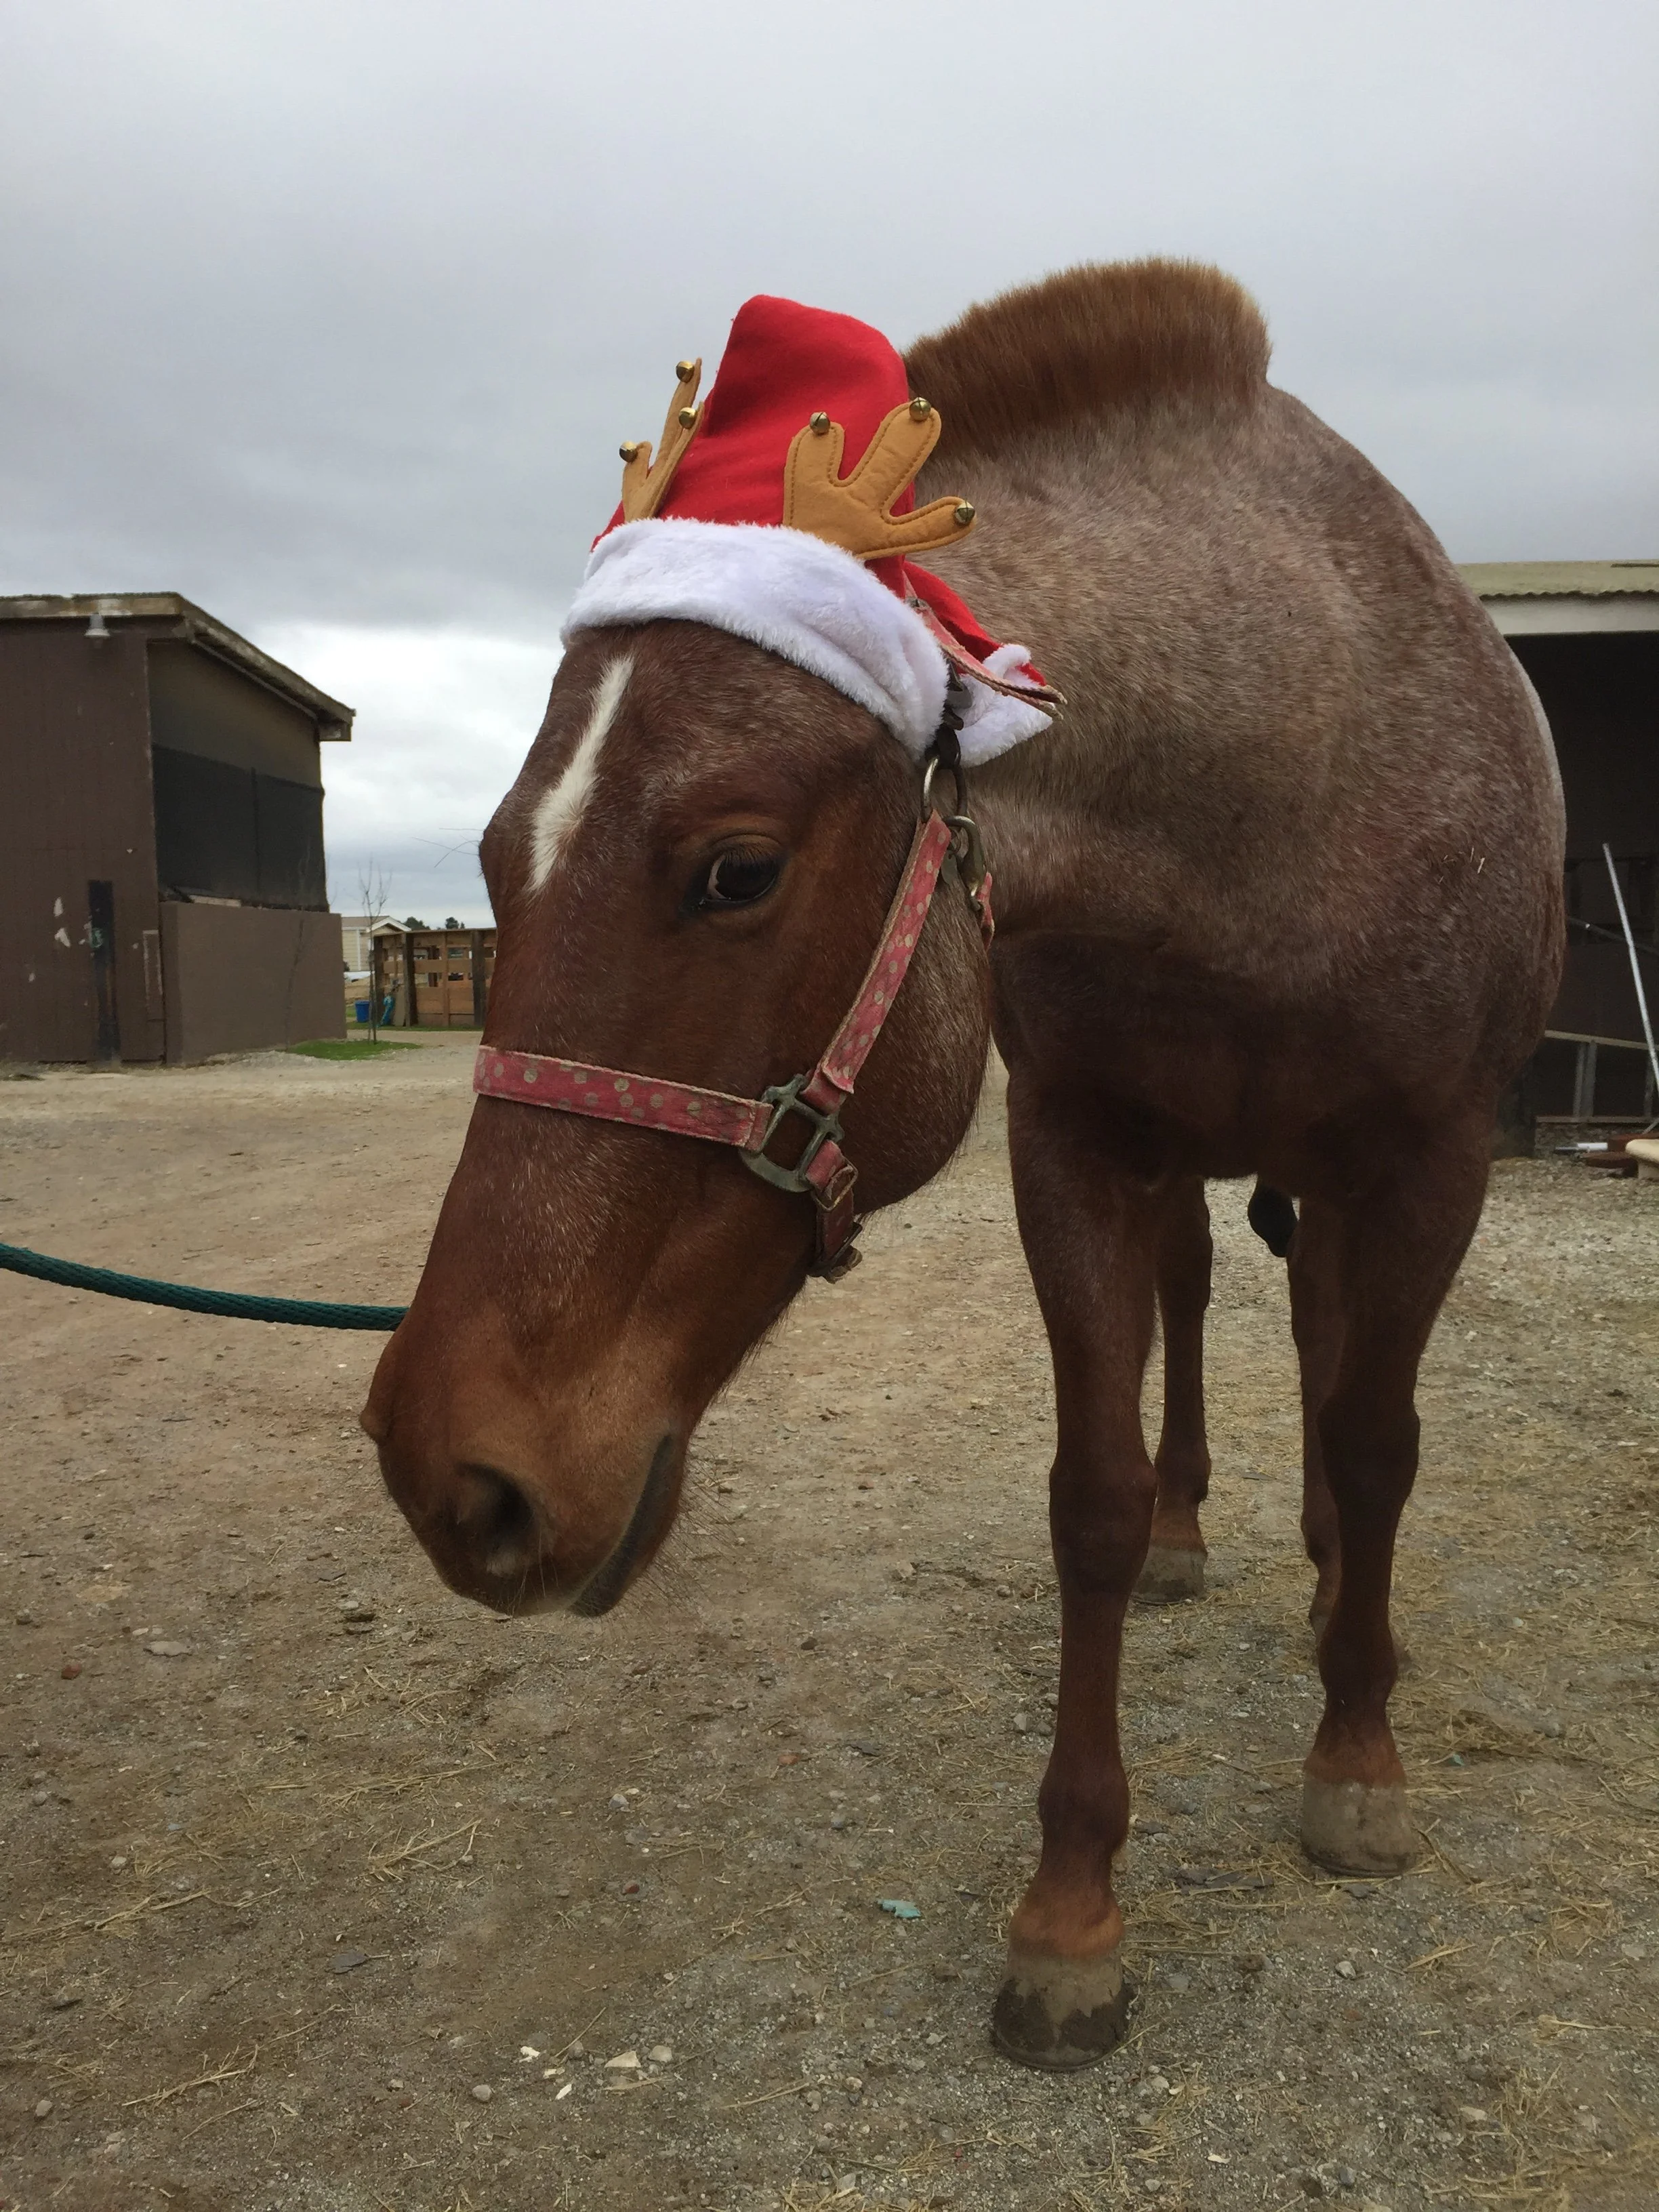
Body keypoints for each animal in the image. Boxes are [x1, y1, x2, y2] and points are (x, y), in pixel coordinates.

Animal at [362, 259, 1565, 2069]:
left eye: (735, 870)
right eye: (498, 860)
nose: (452, 1472)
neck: (1288, 774)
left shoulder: (1432, 1161)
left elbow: (1373, 1447)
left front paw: (1356, 1758)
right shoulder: (1076, 1153)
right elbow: (1095, 1496)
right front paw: (1071, 1914)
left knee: (1326, 1360)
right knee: (1205, 1305)